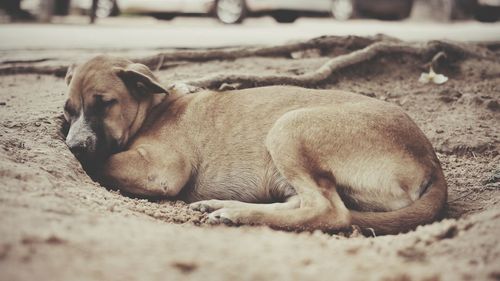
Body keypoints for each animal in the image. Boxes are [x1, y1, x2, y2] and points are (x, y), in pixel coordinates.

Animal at [63, 55, 450, 234]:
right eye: (68, 110)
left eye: (105, 104)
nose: (74, 146)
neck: (156, 108)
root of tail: (431, 160)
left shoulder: (161, 171)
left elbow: (104, 161)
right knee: (302, 204)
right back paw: (222, 206)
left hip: (289, 127)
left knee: (329, 211)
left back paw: (236, 214)